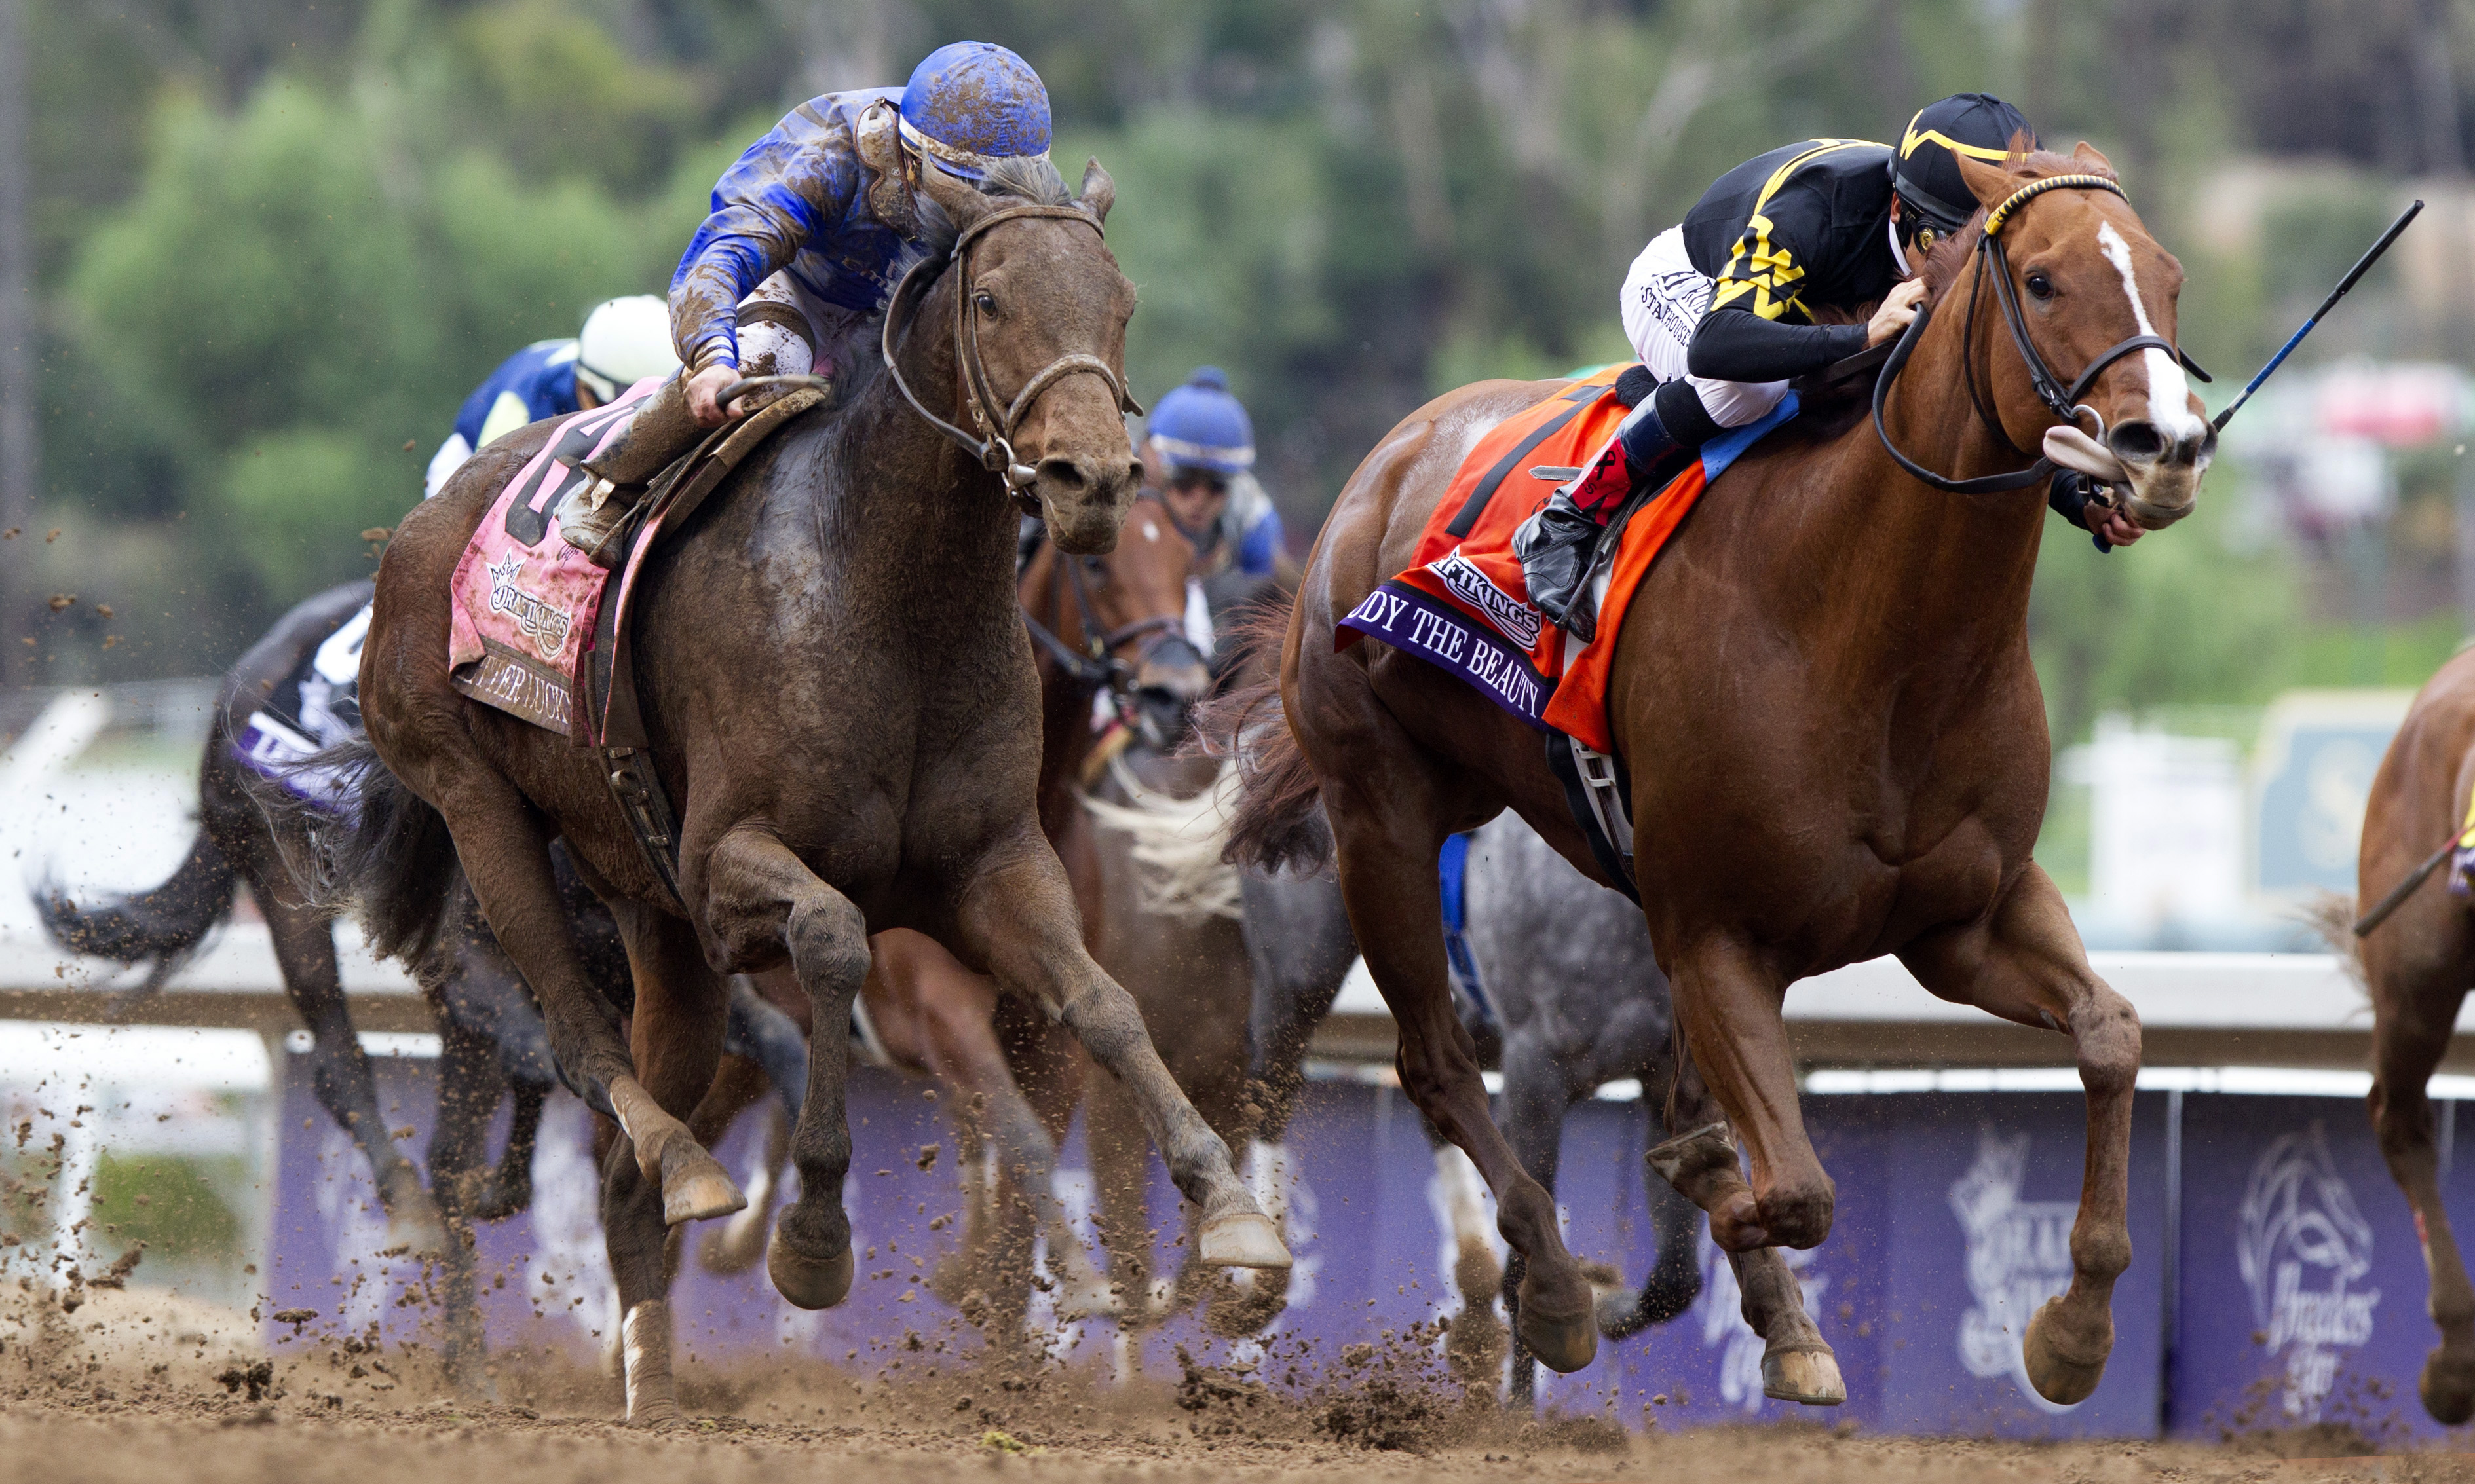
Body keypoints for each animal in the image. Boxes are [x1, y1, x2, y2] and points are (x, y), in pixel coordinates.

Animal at [333, 153, 1283, 1424]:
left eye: (1120, 302)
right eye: (992, 301)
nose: (1087, 480)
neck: (893, 598)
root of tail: (412, 531)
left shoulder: (991, 877)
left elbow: (1102, 1012)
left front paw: (1229, 1220)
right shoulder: (747, 875)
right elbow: (837, 937)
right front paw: (819, 1241)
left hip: (652, 917)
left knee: (628, 1169)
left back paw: (652, 1366)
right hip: (480, 807)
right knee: (584, 1052)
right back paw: (673, 1202)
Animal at [1220, 142, 2205, 1406]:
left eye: (2168, 278)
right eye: (2039, 280)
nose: (2162, 446)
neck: (1869, 632)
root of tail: (1381, 462)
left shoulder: (1964, 915)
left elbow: (2110, 1036)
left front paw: (2070, 1331)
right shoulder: (1710, 934)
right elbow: (1789, 1189)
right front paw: (1644, 1257)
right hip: (1375, 822)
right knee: (1426, 1067)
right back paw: (1531, 1287)